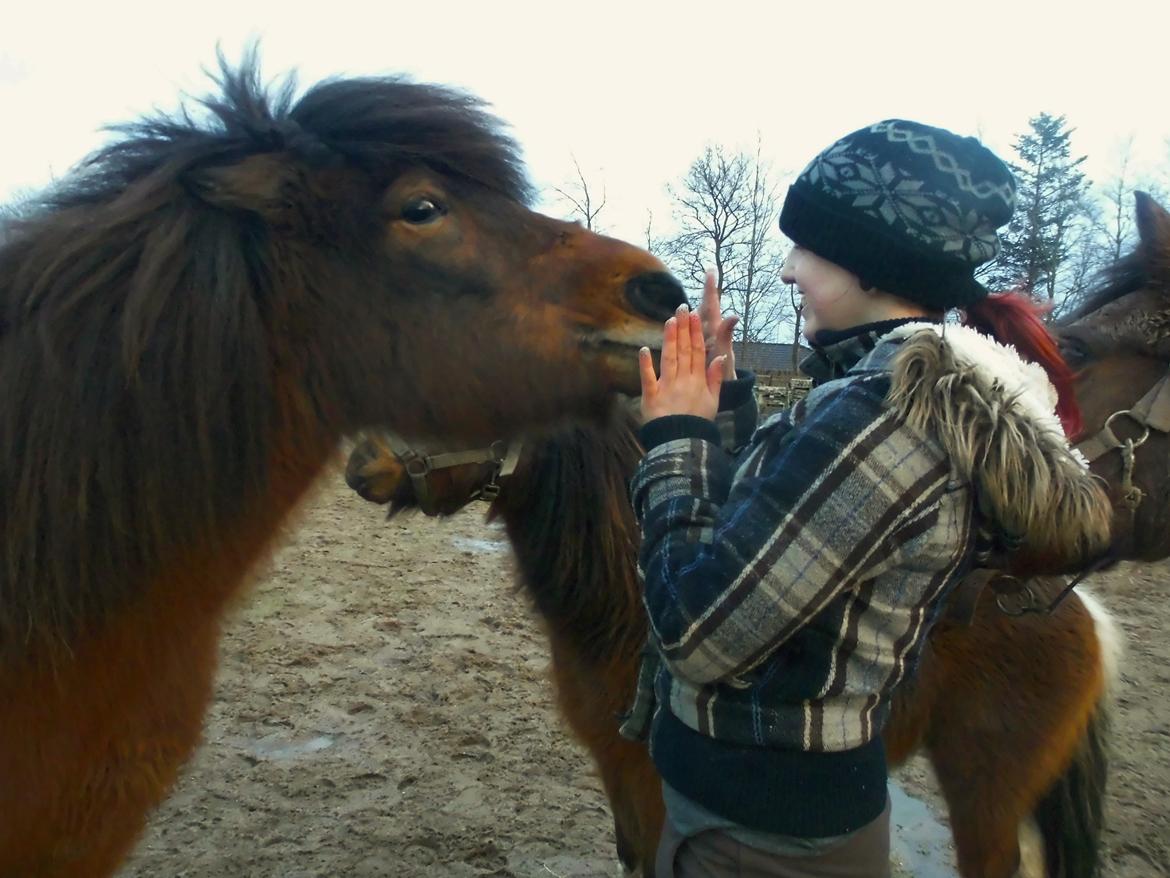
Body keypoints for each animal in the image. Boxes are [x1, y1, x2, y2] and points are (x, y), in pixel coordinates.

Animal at [341, 197, 1170, 878]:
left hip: (985, 795)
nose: (359, 461)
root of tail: (1084, 615)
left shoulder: (652, 790)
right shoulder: (619, 779)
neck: (621, 602)